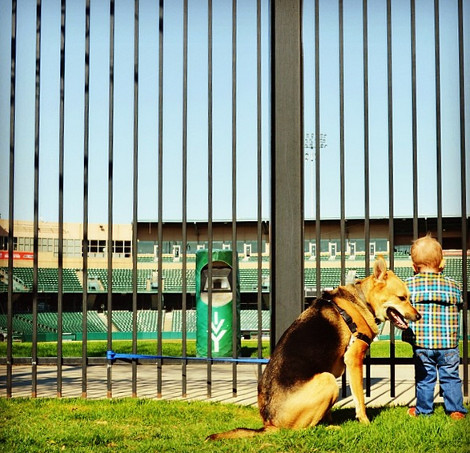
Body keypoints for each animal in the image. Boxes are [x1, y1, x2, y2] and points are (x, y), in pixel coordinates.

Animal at [207, 258, 420, 438]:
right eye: (402, 298)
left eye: (409, 297)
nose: (418, 316)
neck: (362, 300)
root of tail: (269, 424)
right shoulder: (354, 358)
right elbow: (359, 396)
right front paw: (365, 421)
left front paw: (331, 418)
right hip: (327, 380)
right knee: (301, 430)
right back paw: (329, 428)